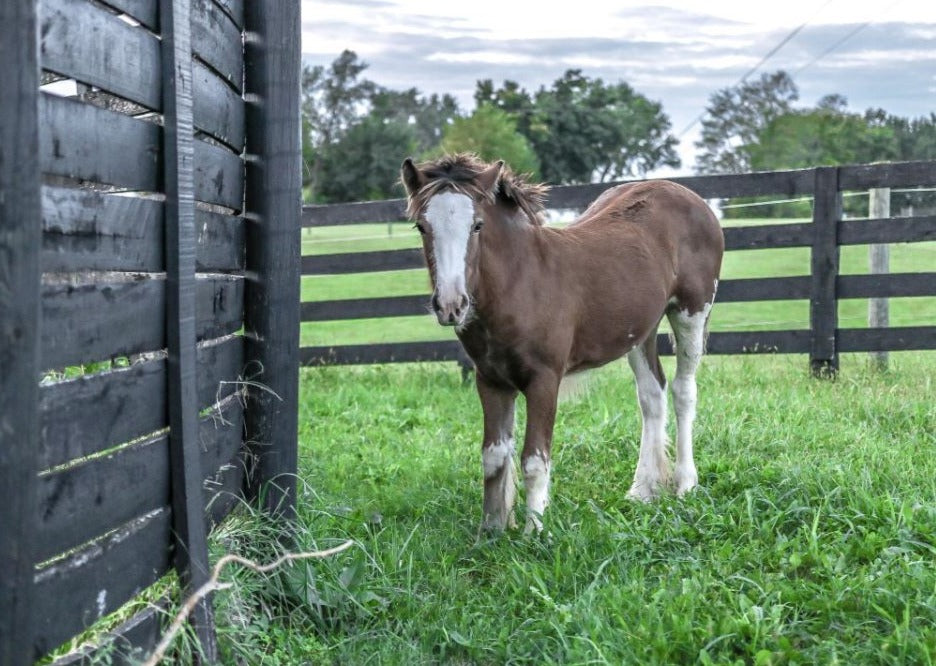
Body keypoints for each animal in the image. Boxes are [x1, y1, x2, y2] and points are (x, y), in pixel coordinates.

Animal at [401, 154, 724, 533]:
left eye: (477, 226)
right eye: (422, 227)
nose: (451, 305)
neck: (521, 283)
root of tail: (691, 197)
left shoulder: (544, 379)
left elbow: (534, 458)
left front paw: (534, 531)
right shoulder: (490, 380)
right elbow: (493, 456)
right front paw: (491, 531)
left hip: (692, 310)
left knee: (683, 390)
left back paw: (686, 484)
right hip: (640, 328)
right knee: (651, 394)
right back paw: (643, 490)